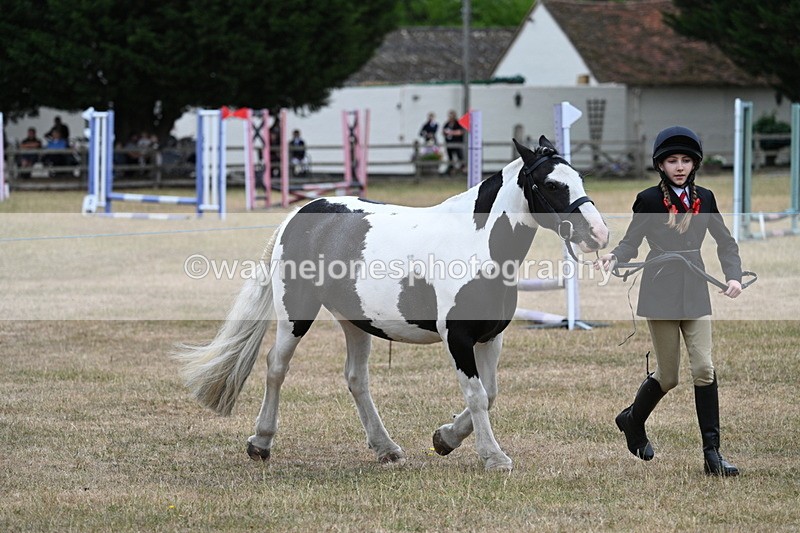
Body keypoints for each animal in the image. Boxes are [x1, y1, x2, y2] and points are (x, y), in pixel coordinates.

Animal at [176, 136, 609, 471]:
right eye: (551, 185)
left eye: (579, 178)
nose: (598, 233)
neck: (476, 244)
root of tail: (300, 213)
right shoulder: (458, 338)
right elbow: (476, 395)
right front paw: (493, 457)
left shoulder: (490, 337)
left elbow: (490, 393)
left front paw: (445, 438)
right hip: (295, 314)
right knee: (276, 367)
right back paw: (261, 442)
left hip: (355, 321)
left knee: (356, 379)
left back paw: (385, 448)